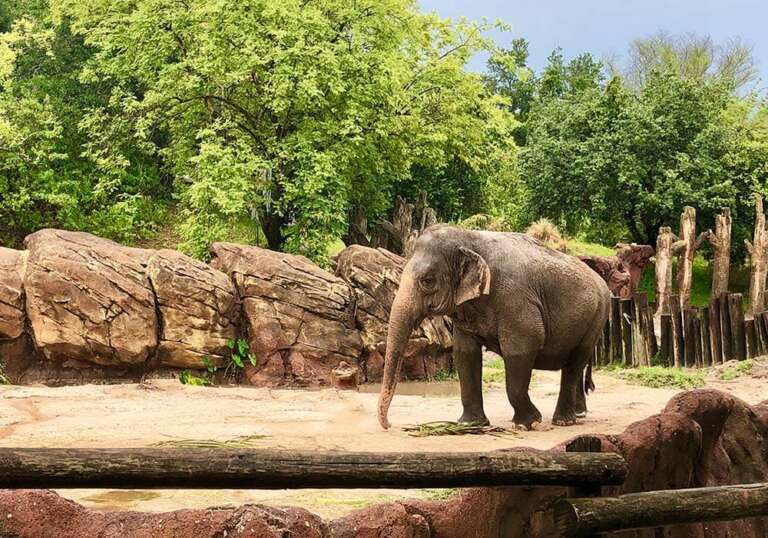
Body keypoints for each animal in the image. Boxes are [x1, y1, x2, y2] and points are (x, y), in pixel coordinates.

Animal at [376, 224, 608, 430]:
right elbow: (464, 353)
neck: (470, 237)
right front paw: (470, 425)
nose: (389, 425)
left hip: (596, 318)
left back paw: (564, 421)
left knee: (575, 363)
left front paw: (529, 423)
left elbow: (521, 348)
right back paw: (577, 415)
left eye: (428, 281)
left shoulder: (515, 299)